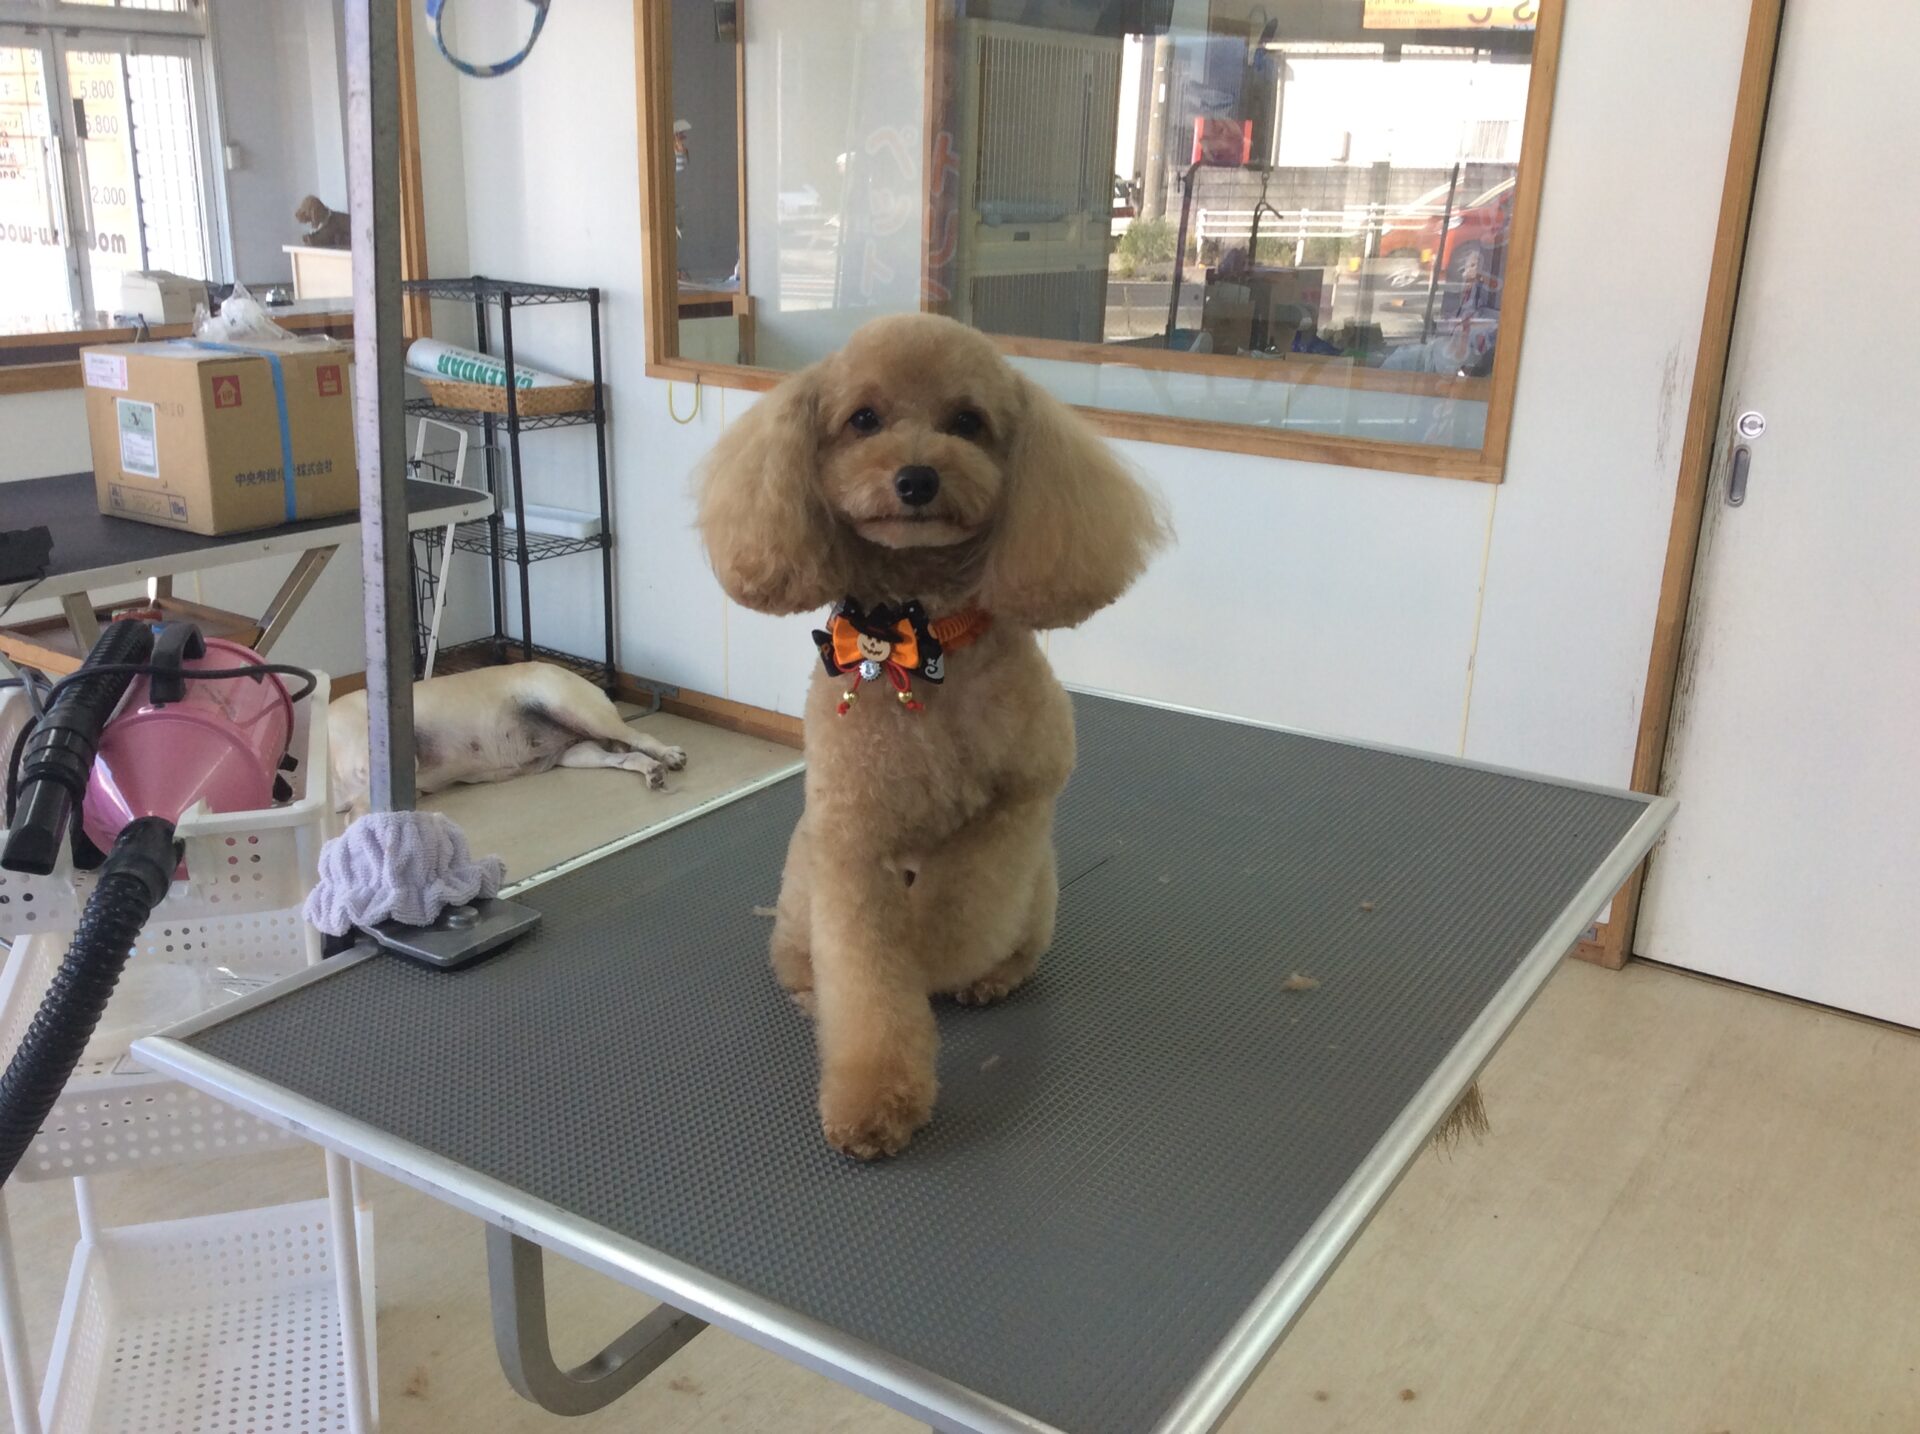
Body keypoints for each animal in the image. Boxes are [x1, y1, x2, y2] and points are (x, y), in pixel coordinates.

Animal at [328, 662, 686, 816]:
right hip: (578, 754)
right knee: (626, 757)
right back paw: (652, 772)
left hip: (577, 709)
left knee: (639, 736)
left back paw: (669, 755)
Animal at [697, 312, 1168, 1158]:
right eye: (863, 419)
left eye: (968, 422)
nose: (917, 478)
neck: (918, 641)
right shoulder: (850, 843)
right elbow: (868, 978)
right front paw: (873, 1102)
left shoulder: (1022, 799)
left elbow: (960, 912)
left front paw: (941, 960)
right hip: (801, 875)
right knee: (801, 959)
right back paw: (810, 992)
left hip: (1041, 887)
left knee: (1010, 932)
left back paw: (990, 976)